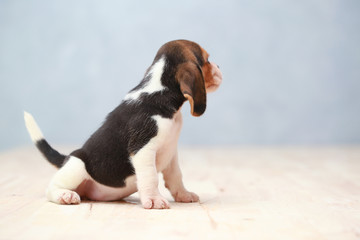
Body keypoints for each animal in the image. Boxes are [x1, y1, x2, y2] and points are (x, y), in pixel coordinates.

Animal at [23, 39, 222, 208]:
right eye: (206, 60)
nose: (219, 66)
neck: (159, 91)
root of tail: (66, 158)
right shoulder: (143, 150)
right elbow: (151, 177)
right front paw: (154, 199)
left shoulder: (171, 152)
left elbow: (176, 176)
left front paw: (183, 194)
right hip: (77, 165)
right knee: (51, 188)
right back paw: (64, 195)